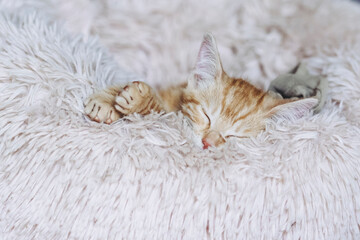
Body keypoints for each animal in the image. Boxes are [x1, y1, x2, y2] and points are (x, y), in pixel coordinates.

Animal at [85, 32, 318, 149]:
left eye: (236, 136)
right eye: (206, 116)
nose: (208, 143)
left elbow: (159, 111)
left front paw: (140, 100)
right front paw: (105, 101)